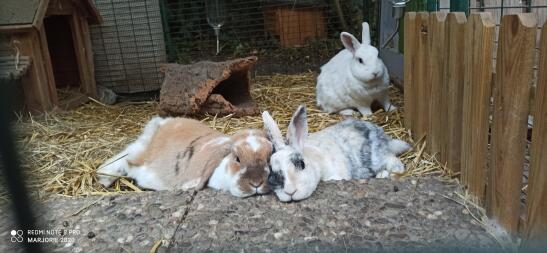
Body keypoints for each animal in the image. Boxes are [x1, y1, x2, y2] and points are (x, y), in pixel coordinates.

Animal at [97, 116, 272, 198]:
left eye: (269, 156)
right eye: (237, 159)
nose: (256, 183)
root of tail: (162, 124)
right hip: (140, 153)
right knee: (126, 159)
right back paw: (104, 177)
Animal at [262, 105, 412, 202]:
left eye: (301, 164)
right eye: (272, 172)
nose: (290, 191)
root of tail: (386, 139)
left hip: (378, 157)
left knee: (394, 161)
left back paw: (385, 174)